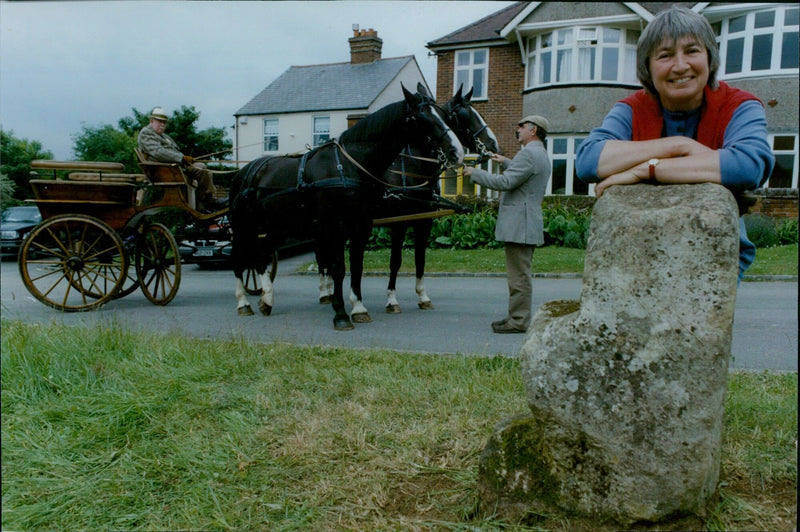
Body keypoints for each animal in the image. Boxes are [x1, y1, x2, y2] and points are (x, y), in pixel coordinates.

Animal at [227, 84, 462, 328]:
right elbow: (339, 267)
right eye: (422, 117)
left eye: (445, 116)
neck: (350, 166)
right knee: (239, 259)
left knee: (261, 256)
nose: (457, 151)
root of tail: (245, 171)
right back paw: (243, 303)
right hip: (243, 227)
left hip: (277, 227)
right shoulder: (338, 226)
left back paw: (267, 299)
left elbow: (357, 266)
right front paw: (340, 313)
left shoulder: (363, 225)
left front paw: (358, 307)